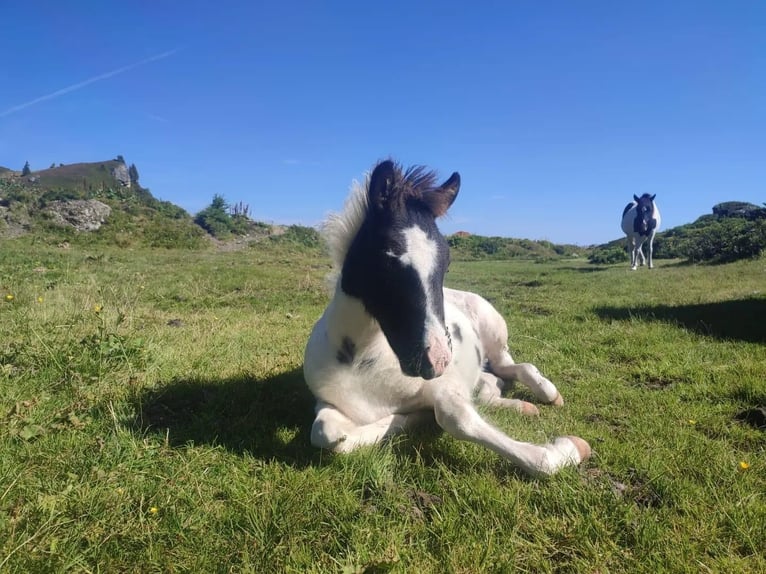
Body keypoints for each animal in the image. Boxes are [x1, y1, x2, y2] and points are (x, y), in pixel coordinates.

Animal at [303, 160, 590, 476]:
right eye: (387, 257)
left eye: (447, 261)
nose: (436, 360)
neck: (364, 360)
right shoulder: (326, 403)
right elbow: (326, 434)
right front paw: (412, 418)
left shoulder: (446, 386)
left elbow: (457, 418)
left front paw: (566, 450)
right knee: (492, 383)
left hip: (494, 332)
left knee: (513, 365)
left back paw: (548, 393)